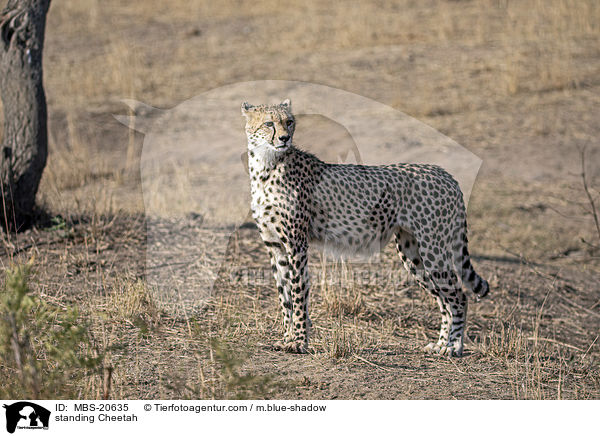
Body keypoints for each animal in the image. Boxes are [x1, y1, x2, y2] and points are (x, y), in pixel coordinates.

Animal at [241, 99, 490, 358]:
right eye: (269, 123)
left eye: (289, 121)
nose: (284, 138)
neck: (266, 165)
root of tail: (445, 174)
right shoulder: (275, 247)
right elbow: (285, 296)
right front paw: (287, 338)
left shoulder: (296, 244)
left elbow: (299, 293)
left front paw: (299, 342)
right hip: (414, 255)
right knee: (444, 299)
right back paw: (440, 343)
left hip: (433, 249)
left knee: (459, 295)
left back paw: (454, 346)